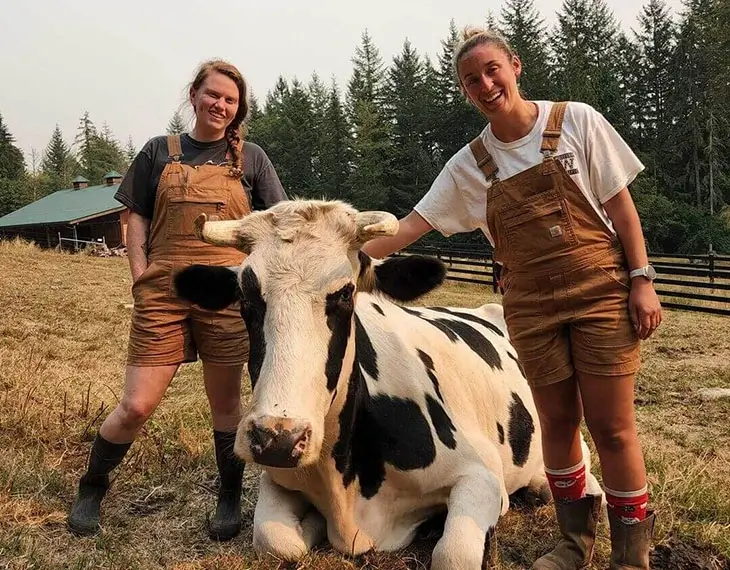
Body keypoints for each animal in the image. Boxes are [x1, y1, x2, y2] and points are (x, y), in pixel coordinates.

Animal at [175, 200, 596, 568]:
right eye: (244, 297)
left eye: (345, 293)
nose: (278, 438)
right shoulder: (276, 477)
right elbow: (277, 540)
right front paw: (311, 526)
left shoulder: (482, 474)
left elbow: (454, 554)